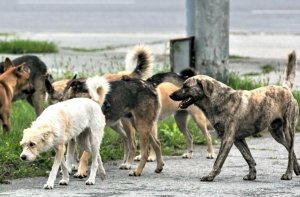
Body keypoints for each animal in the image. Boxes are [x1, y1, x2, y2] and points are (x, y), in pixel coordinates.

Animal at [171, 51, 300, 182]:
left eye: (186, 86)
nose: (171, 95)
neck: (219, 99)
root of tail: (285, 88)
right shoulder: (238, 139)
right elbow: (248, 157)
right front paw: (252, 175)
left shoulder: (227, 139)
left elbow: (218, 161)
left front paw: (210, 176)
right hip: (276, 133)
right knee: (290, 149)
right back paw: (296, 168)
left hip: (288, 130)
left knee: (290, 151)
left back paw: (288, 174)